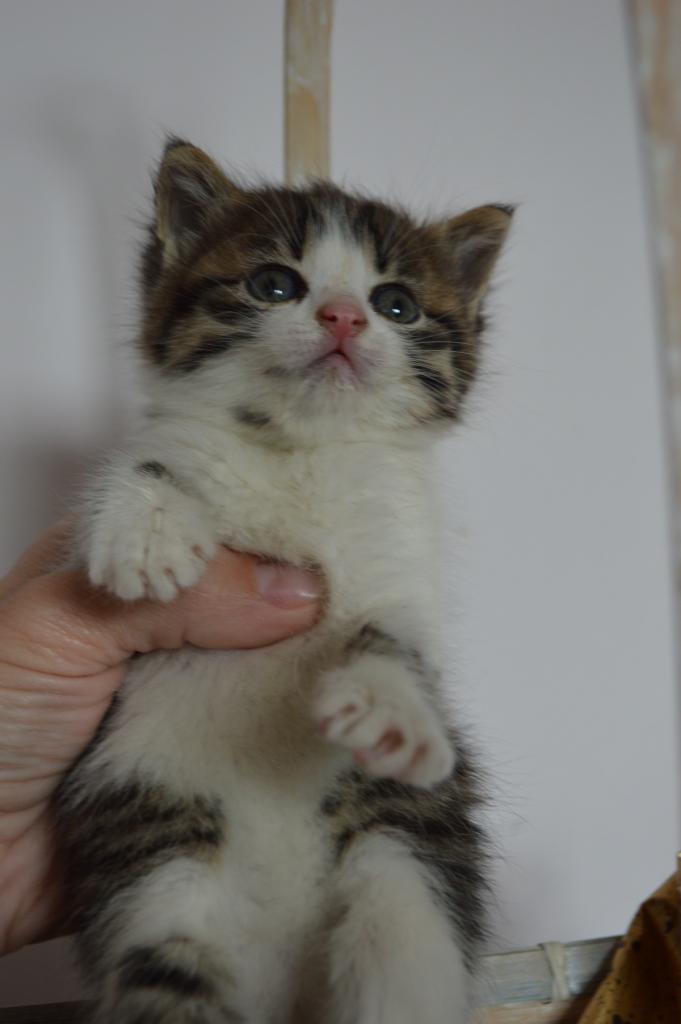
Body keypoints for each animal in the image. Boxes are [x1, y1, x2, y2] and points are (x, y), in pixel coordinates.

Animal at [55, 138, 512, 1024]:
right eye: (274, 285)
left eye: (395, 303)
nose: (342, 317)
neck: (301, 452)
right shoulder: (175, 441)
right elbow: (147, 462)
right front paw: (146, 529)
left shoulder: (398, 547)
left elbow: (396, 634)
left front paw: (389, 705)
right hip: (162, 874)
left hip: (396, 848)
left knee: (399, 933)